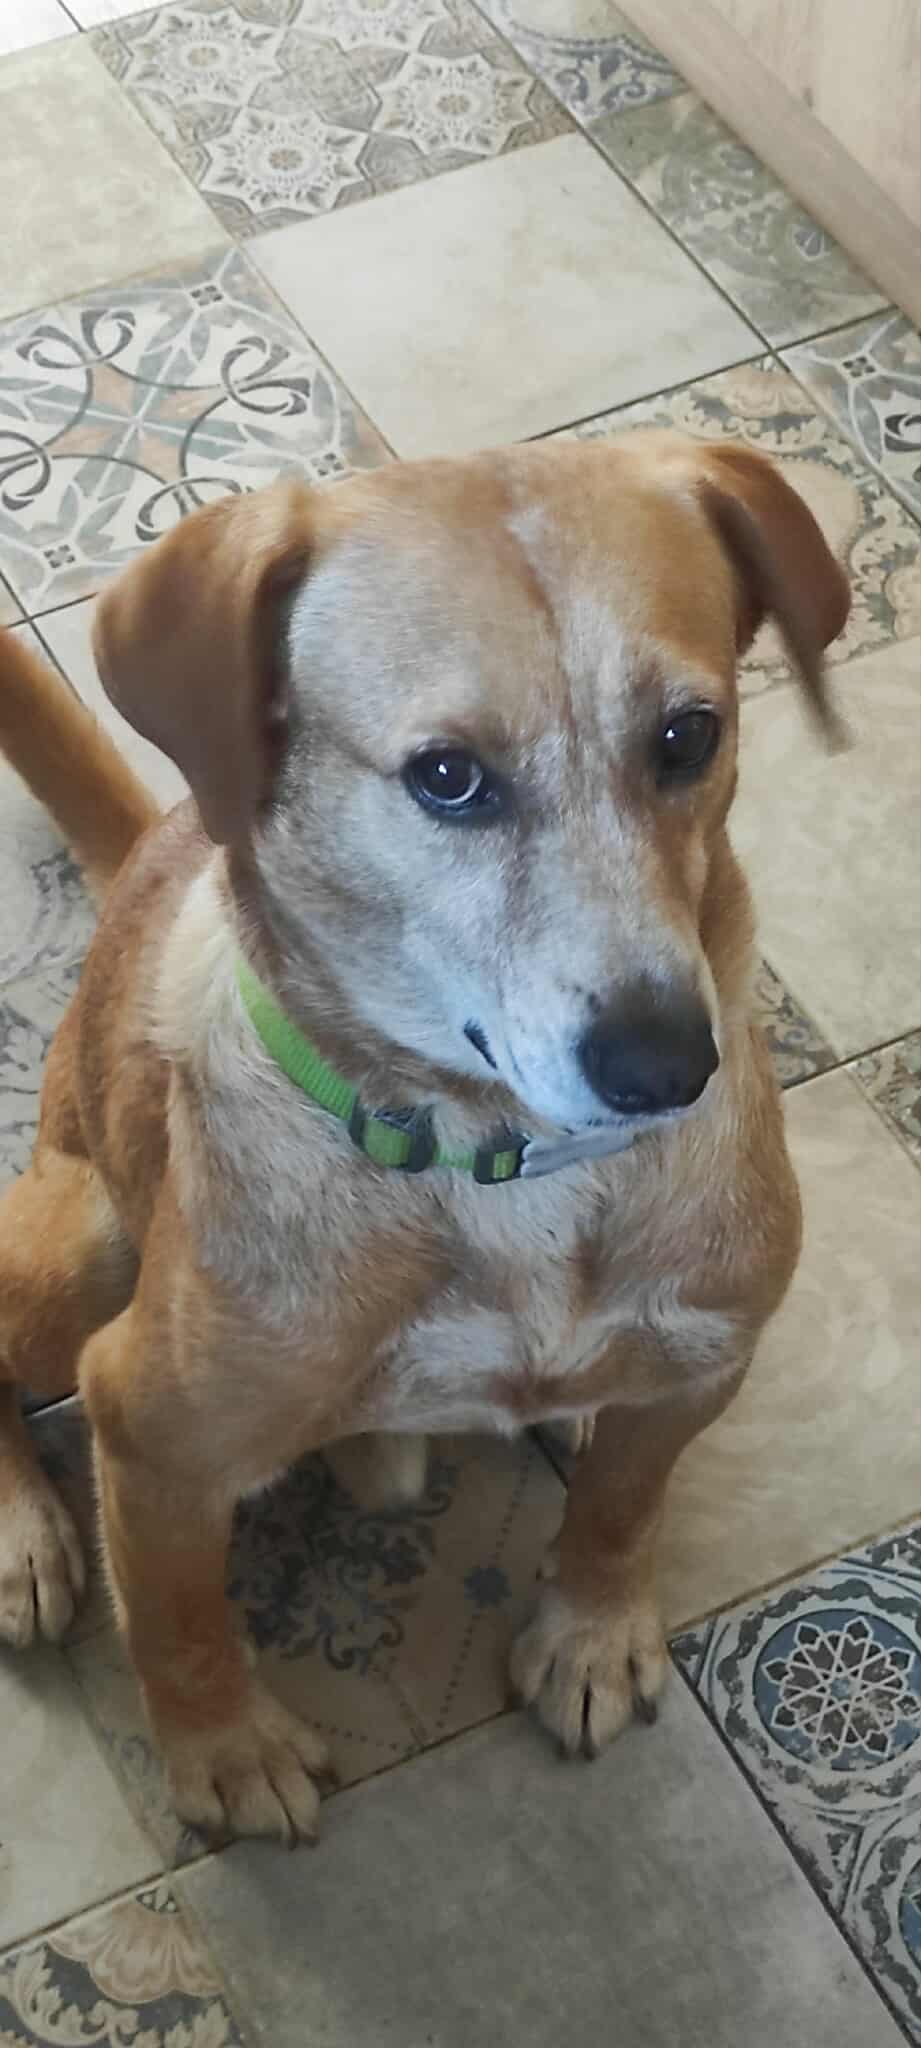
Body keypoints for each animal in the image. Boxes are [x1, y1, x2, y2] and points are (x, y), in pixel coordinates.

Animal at [0, 431, 848, 1843]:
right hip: (74, 1250)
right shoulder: (151, 1429)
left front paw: (591, 1627)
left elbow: (627, 1502)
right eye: (447, 777)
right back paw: (24, 1528)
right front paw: (225, 1750)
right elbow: (177, 1619)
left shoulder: (706, 1352)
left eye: (689, 735)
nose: (666, 1065)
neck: (505, 1163)